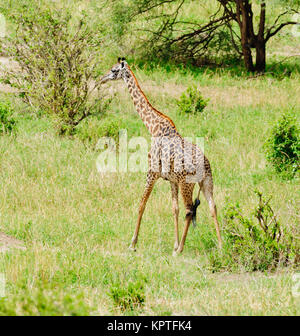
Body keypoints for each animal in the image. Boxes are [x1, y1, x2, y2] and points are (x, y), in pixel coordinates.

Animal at [99, 57, 221, 255]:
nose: (102, 79)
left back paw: (180, 250)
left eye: (113, 70)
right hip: (206, 182)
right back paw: (220, 245)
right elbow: (174, 209)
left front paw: (133, 243)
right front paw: (174, 244)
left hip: (188, 184)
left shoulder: (152, 172)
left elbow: (142, 204)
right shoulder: (172, 180)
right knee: (212, 207)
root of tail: (204, 165)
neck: (153, 127)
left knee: (190, 210)